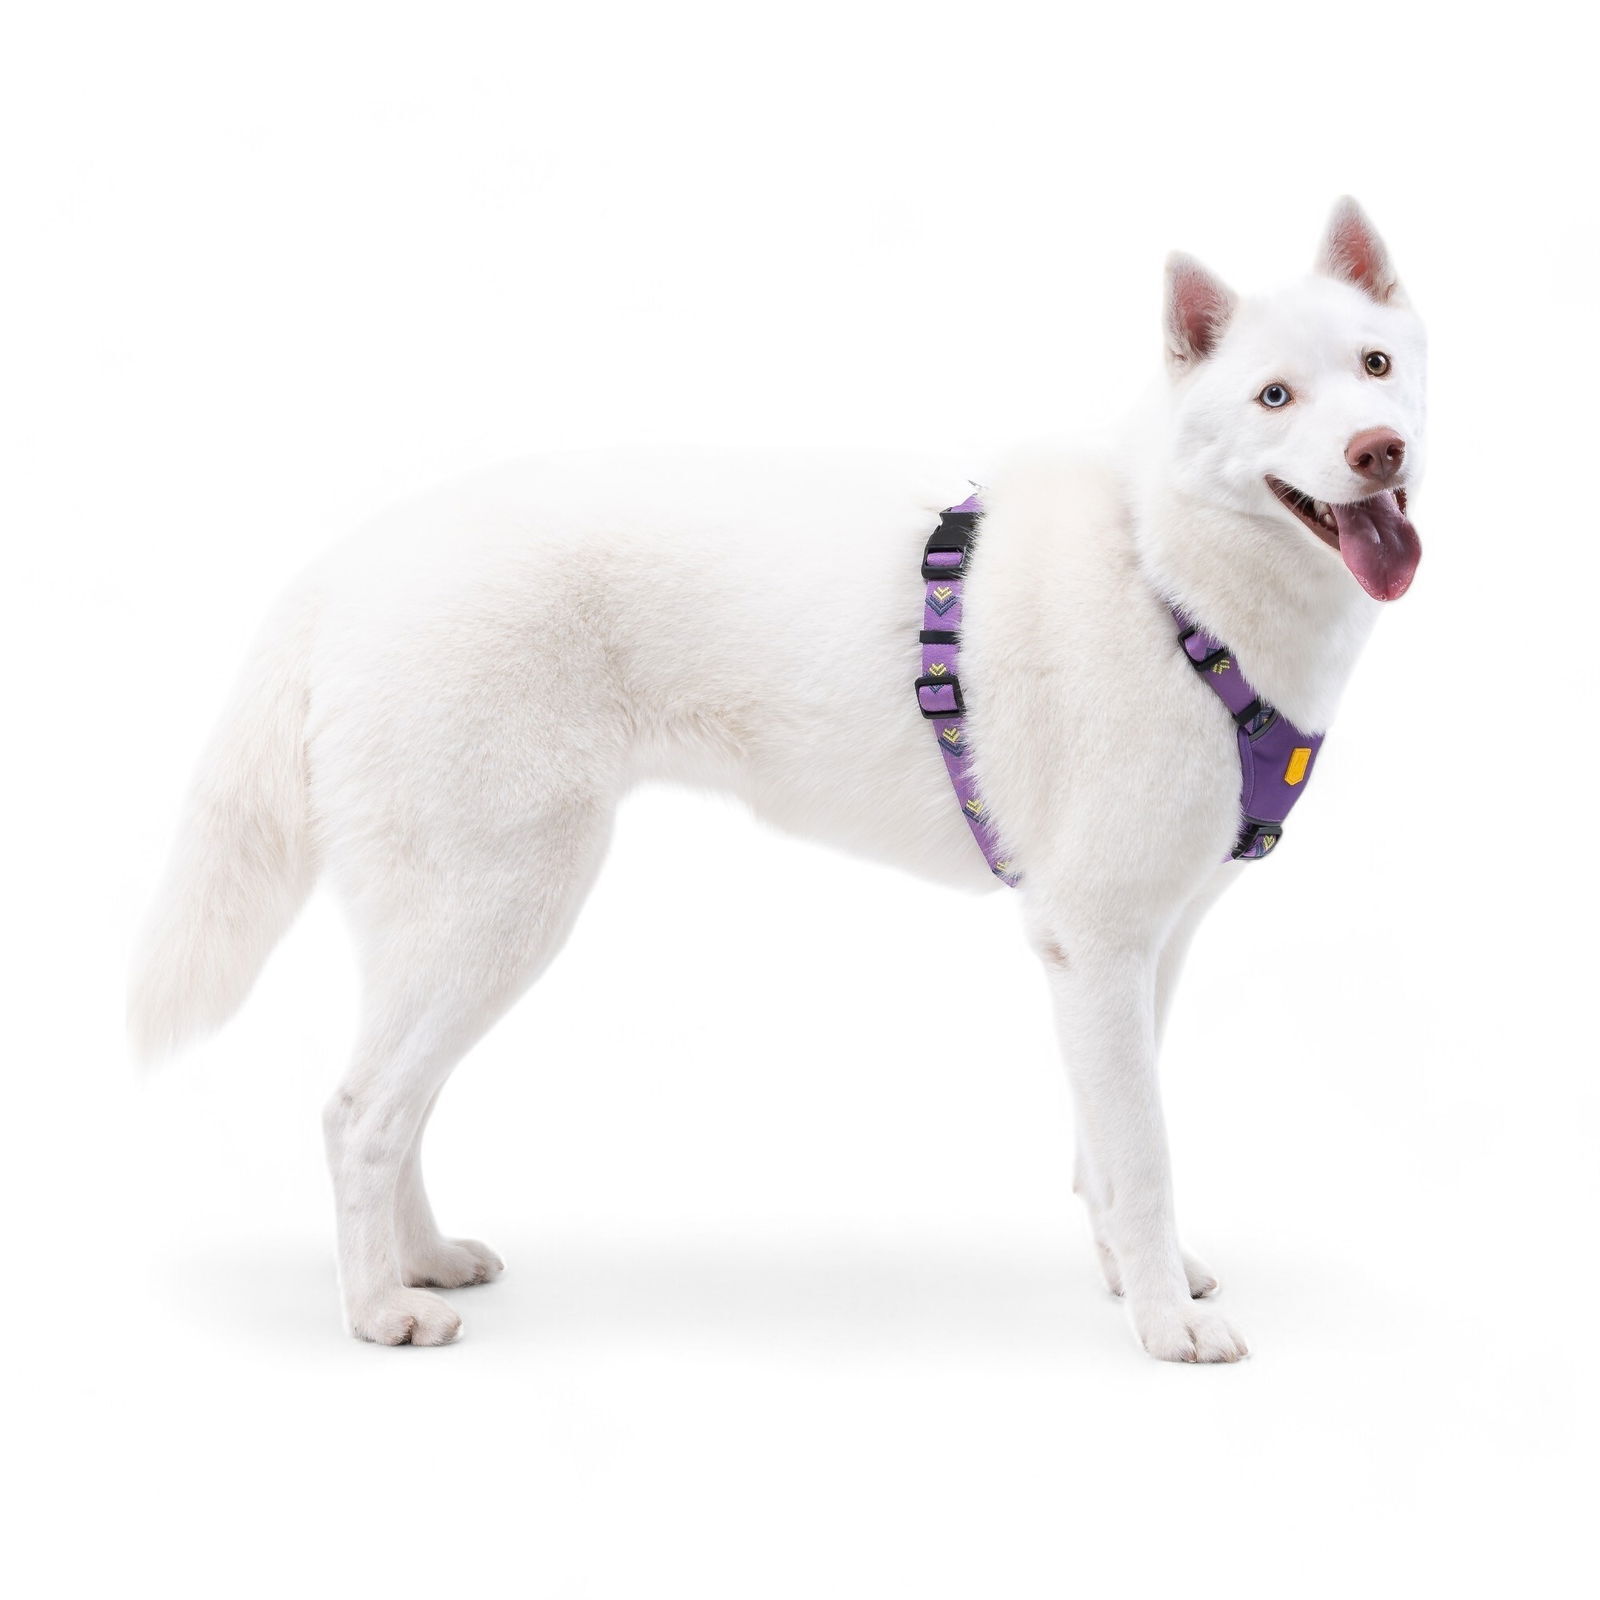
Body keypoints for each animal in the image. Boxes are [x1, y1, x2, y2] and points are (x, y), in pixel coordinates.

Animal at [130, 198, 1425, 1361]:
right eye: (1272, 397)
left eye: (1375, 364)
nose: (1380, 450)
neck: (1170, 578)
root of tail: (350, 562)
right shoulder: (1096, 942)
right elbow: (1142, 1152)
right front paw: (1161, 1322)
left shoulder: (1143, 948)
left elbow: (1103, 1150)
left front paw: (1130, 1277)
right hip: (497, 907)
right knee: (359, 1113)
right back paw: (377, 1311)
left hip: (458, 926)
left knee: (396, 1101)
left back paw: (420, 1259)